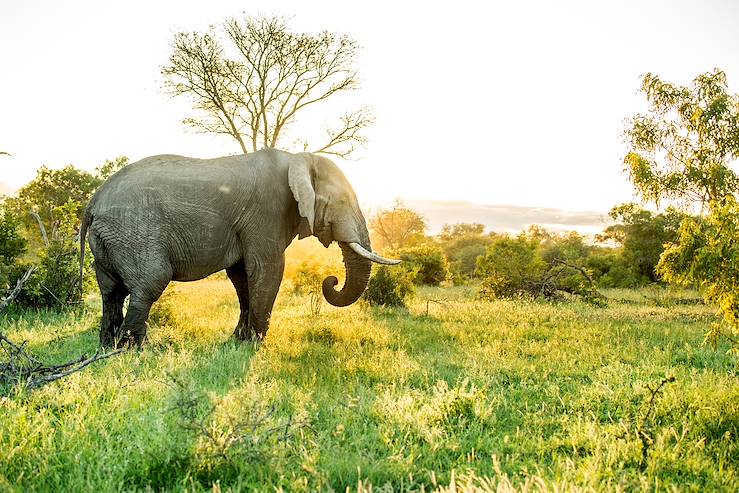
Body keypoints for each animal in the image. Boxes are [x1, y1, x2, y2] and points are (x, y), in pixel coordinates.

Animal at [79, 148, 398, 344]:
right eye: (342, 202)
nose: (330, 280)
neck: (298, 159)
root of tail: (93, 203)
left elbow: (242, 276)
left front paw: (238, 341)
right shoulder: (267, 212)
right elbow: (268, 269)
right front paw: (255, 345)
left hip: (110, 238)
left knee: (112, 291)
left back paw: (107, 347)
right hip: (133, 232)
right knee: (149, 284)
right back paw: (135, 350)